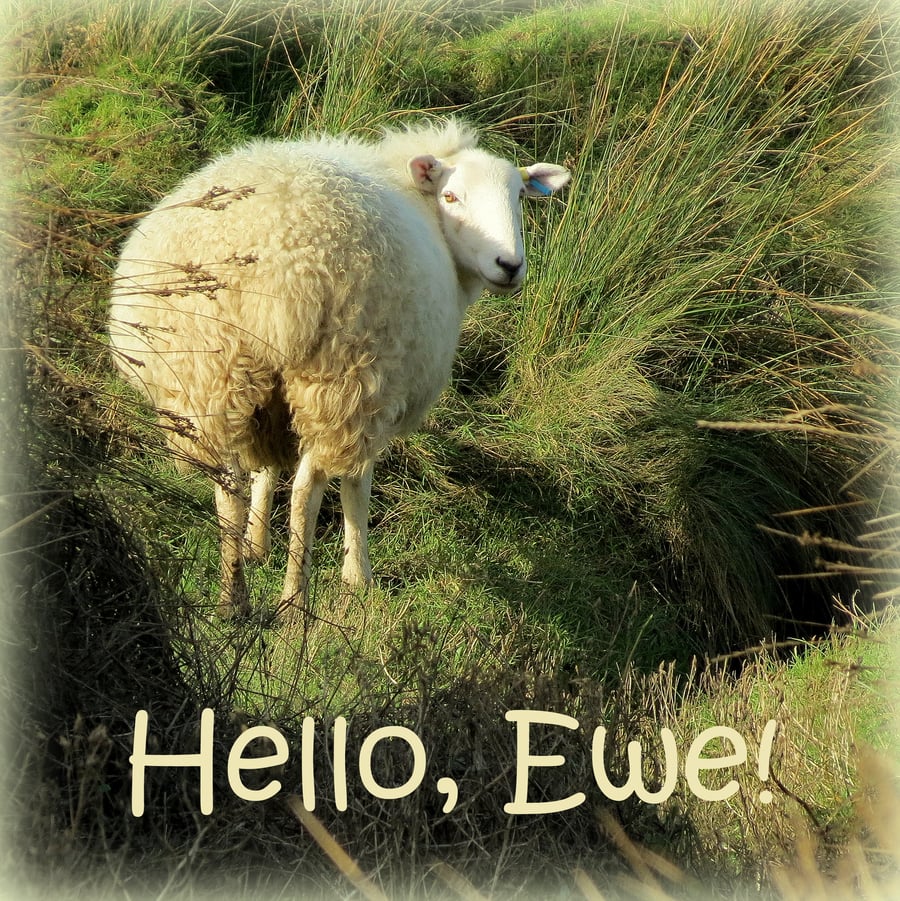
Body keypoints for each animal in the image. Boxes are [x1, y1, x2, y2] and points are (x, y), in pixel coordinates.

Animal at [108, 118, 570, 623]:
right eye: (452, 196)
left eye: (520, 197)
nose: (509, 265)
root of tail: (276, 270)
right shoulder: (379, 394)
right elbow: (356, 485)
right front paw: (357, 576)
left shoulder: (268, 404)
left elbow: (265, 468)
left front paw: (256, 545)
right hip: (344, 378)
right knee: (308, 490)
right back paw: (295, 601)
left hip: (208, 373)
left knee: (228, 484)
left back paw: (233, 598)